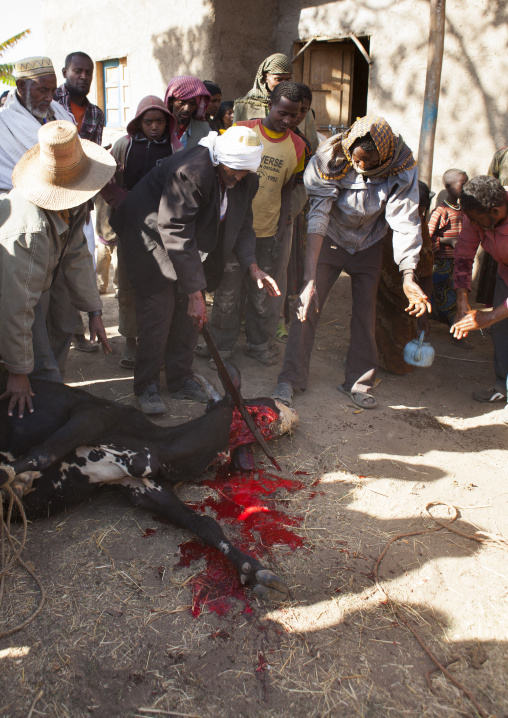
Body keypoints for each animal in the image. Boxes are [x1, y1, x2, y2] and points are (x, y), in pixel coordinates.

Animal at [0, 368, 298, 602]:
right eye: (261, 414)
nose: (293, 412)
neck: (160, 446)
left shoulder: (146, 488)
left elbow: (206, 524)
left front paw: (255, 571)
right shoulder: (92, 415)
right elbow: (39, 456)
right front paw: (17, 479)